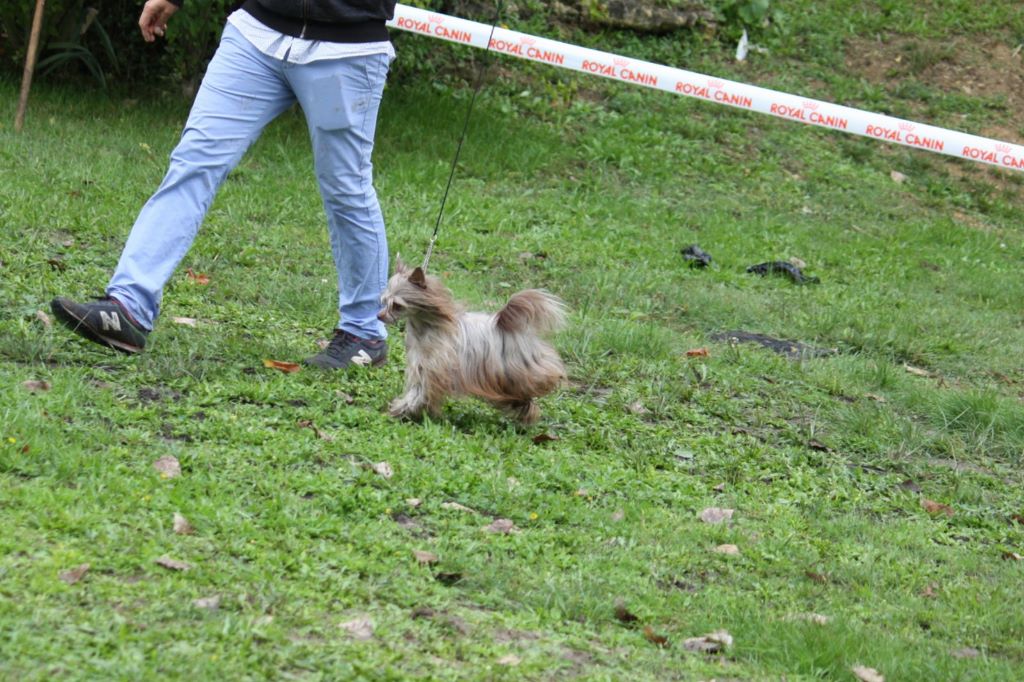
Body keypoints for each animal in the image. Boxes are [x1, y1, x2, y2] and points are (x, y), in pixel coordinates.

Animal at [378, 256, 569, 421]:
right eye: (383, 301)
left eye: (397, 305)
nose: (379, 316)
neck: (429, 326)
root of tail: (509, 326)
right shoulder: (421, 365)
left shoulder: (433, 368)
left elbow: (419, 392)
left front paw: (403, 409)